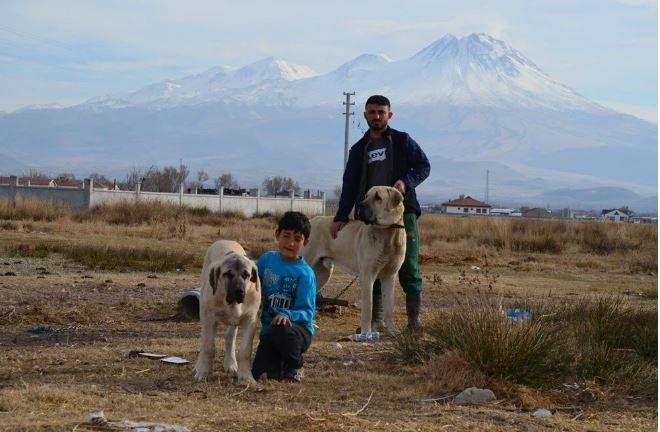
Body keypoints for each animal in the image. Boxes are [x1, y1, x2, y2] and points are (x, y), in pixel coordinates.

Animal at [193, 240, 260, 384]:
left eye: (246, 275)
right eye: (227, 274)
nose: (239, 292)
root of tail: (225, 240)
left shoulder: (250, 320)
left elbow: (245, 350)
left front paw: (246, 376)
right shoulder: (209, 318)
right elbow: (208, 346)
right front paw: (203, 372)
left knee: (230, 337)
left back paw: (230, 363)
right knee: (203, 340)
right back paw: (199, 366)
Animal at [302, 186, 404, 334]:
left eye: (378, 197)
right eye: (366, 196)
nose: (360, 205)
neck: (389, 233)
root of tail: (310, 221)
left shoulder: (390, 276)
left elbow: (389, 306)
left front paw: (392, 330)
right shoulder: (367, 277)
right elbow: (368, 308)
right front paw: (366, 333)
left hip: (322, 274)